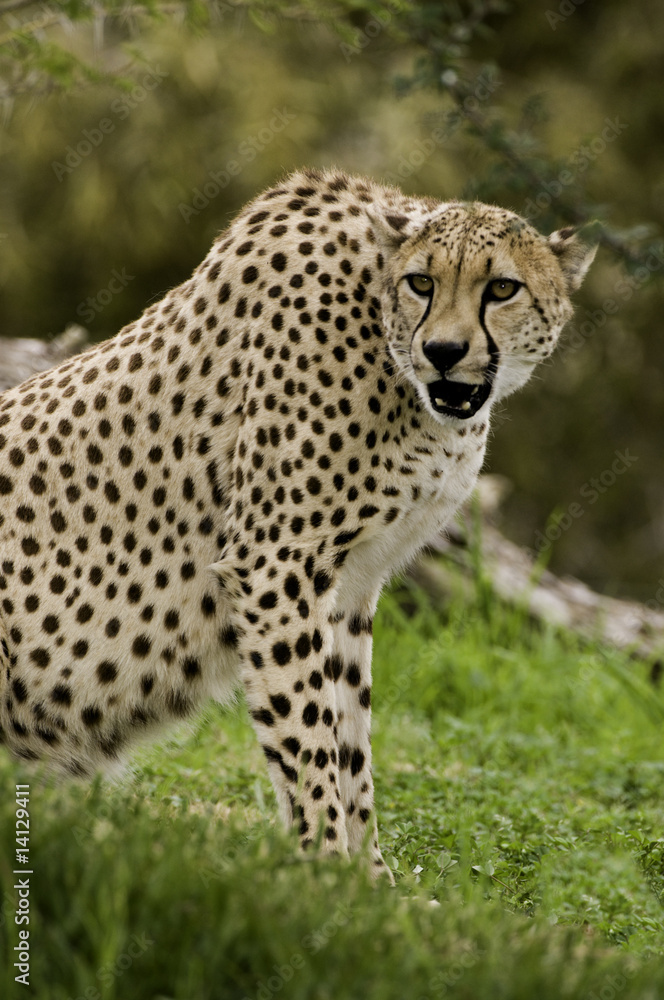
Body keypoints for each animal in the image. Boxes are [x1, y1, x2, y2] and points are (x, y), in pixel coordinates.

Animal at [0, 168, 596, 877]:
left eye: (502, 287)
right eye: (422, 282)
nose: (444, 351)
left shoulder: (351, 587)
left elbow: (350, 742)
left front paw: (373, 884)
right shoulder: (275, 564)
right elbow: (307, 738)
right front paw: (328, 876)